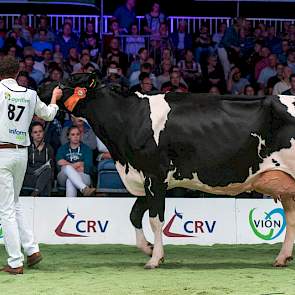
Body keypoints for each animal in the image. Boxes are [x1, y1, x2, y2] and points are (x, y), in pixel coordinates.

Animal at [46, 73, 295, 270]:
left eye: (69, 80)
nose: (44, 88)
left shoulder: (154, 176)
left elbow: (156, 220)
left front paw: (155, 258)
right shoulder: (146, 178)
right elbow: (134, 215)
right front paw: (147, 248)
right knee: (291, 218)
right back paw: (282, 258)